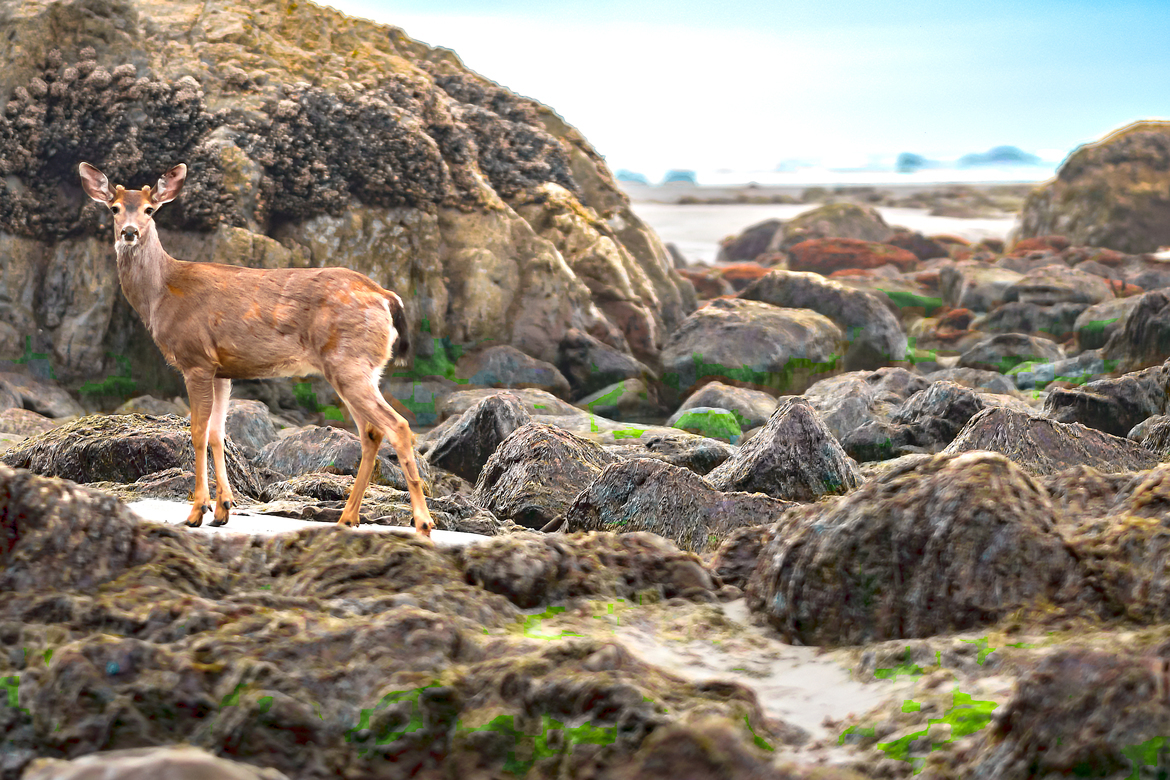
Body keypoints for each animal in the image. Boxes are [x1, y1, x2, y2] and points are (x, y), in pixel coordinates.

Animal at [79, 162, 435, 537]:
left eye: (150, 209)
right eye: (114, 208)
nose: (129, 232)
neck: (162, 293)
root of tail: (386, 296)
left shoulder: (195, 359)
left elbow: (197, 432)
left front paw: (196, 512)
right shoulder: (221, 370)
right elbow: (218, 433)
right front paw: (223, 510)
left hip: (348, 362)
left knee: (397, 426)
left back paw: (422, 523)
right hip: (361, 367)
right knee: (371, 432)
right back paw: (346, 518)